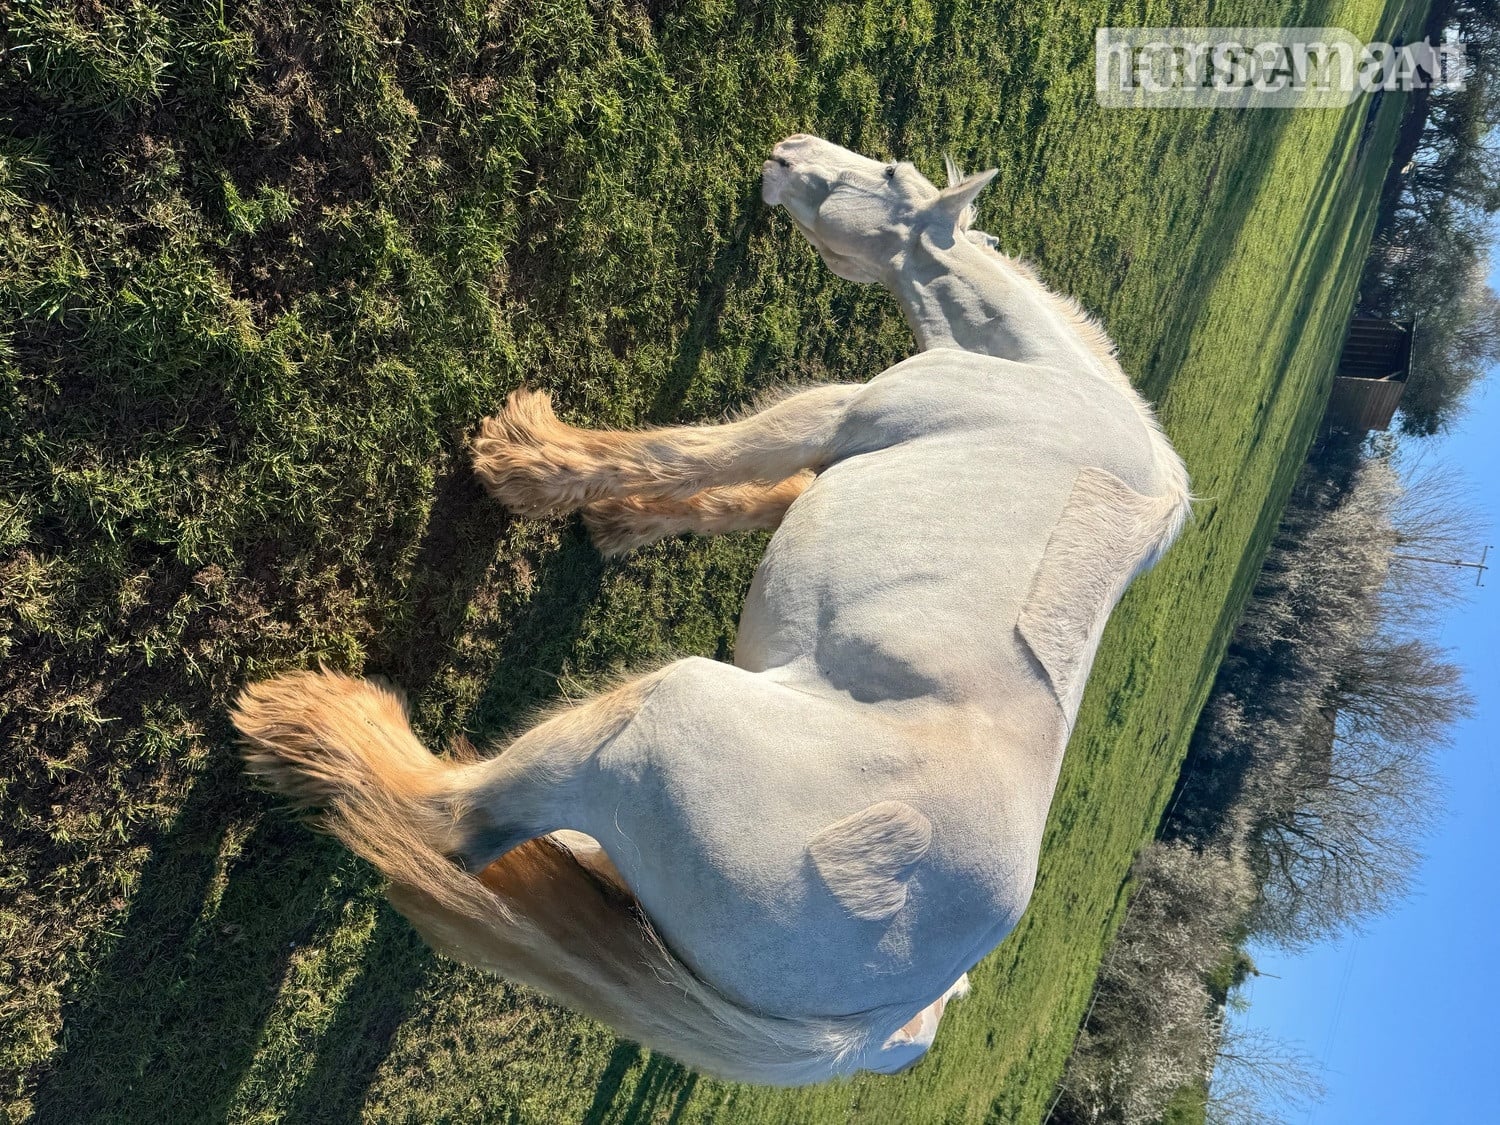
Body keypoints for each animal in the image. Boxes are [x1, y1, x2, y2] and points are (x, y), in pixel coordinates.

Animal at [230, 135, 1190, 1085]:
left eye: (887, 174)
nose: (788, 150)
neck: (1041, 375)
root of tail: (877, 1024)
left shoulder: (834, 409)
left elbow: (685, 451)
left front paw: (526, 459)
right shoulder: (831, 447)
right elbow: (745, 493)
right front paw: (621, 523)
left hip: (660, 706)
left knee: (450, 820)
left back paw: (308, 722)